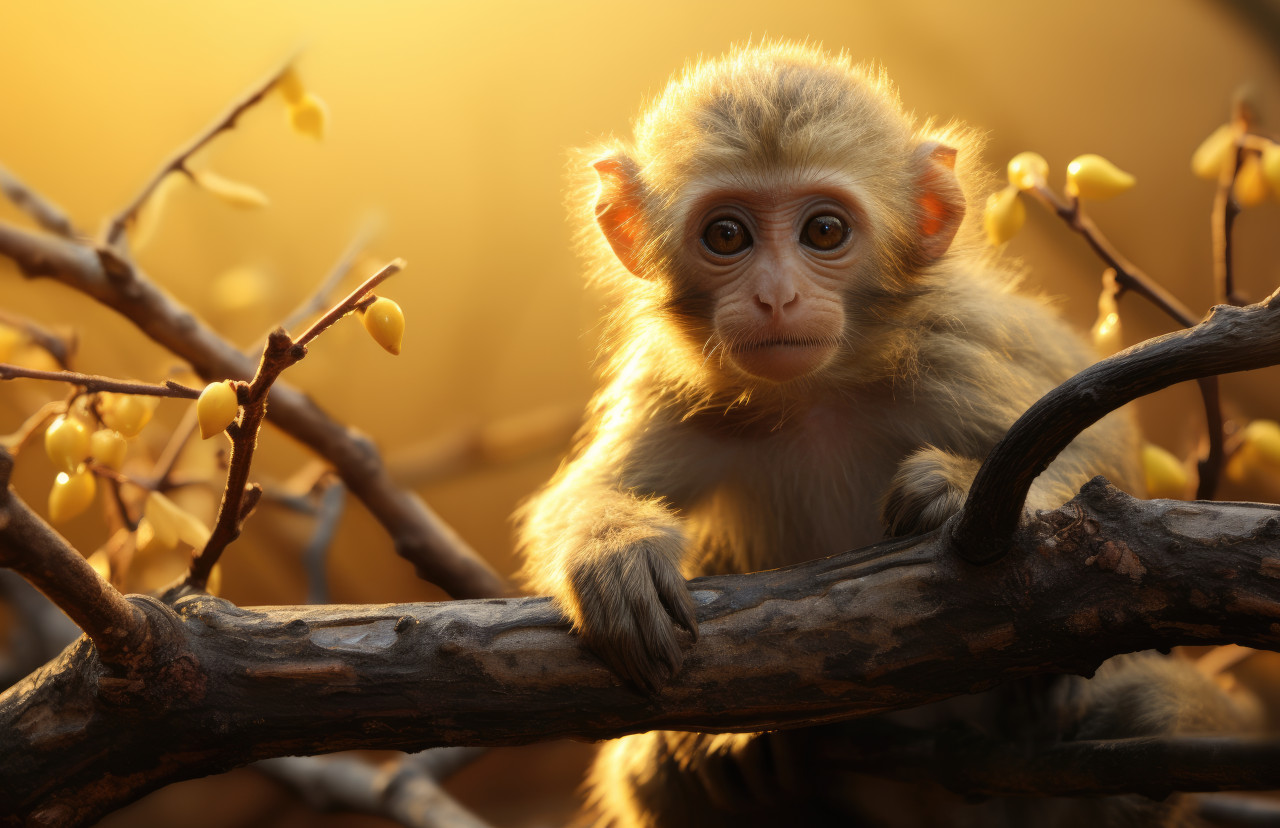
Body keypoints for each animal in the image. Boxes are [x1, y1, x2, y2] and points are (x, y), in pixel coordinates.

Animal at [516, 41, 1257, 827]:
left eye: (824, 231)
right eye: (726, 235)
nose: (775, 296)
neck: (814, 398)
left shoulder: (947, 348)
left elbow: (1101, 469)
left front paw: (954, 489)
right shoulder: (678, 389)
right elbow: (581, 496)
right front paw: (617, 556)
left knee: (1147, 714)